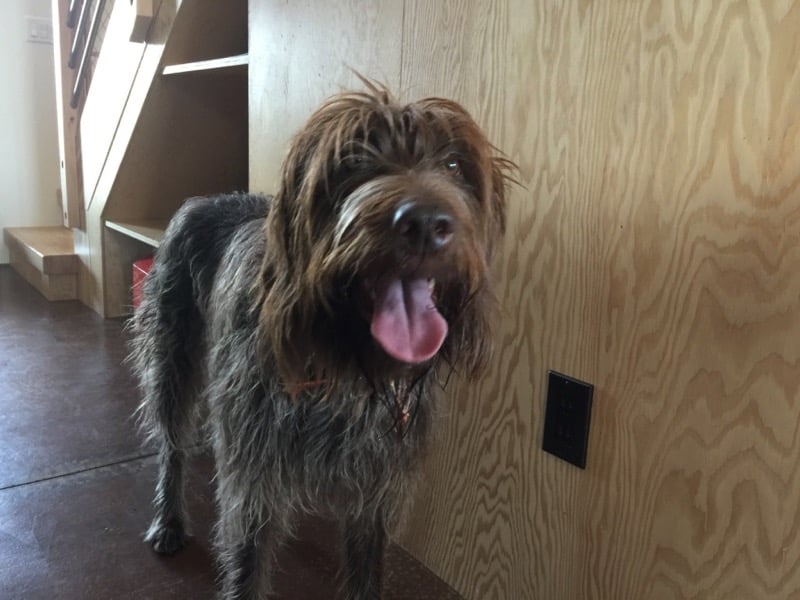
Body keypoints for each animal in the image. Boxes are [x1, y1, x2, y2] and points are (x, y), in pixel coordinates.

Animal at [130, 81, 512, 600]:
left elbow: (366, 573)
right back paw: (168, 520)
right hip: (173, 360)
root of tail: (209, 197)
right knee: (171, 445)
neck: (343, 367)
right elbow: (248, 567)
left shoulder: (376, 495)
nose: (425, 223)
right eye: (352, 158)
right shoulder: (254, 484)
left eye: (455, 165)